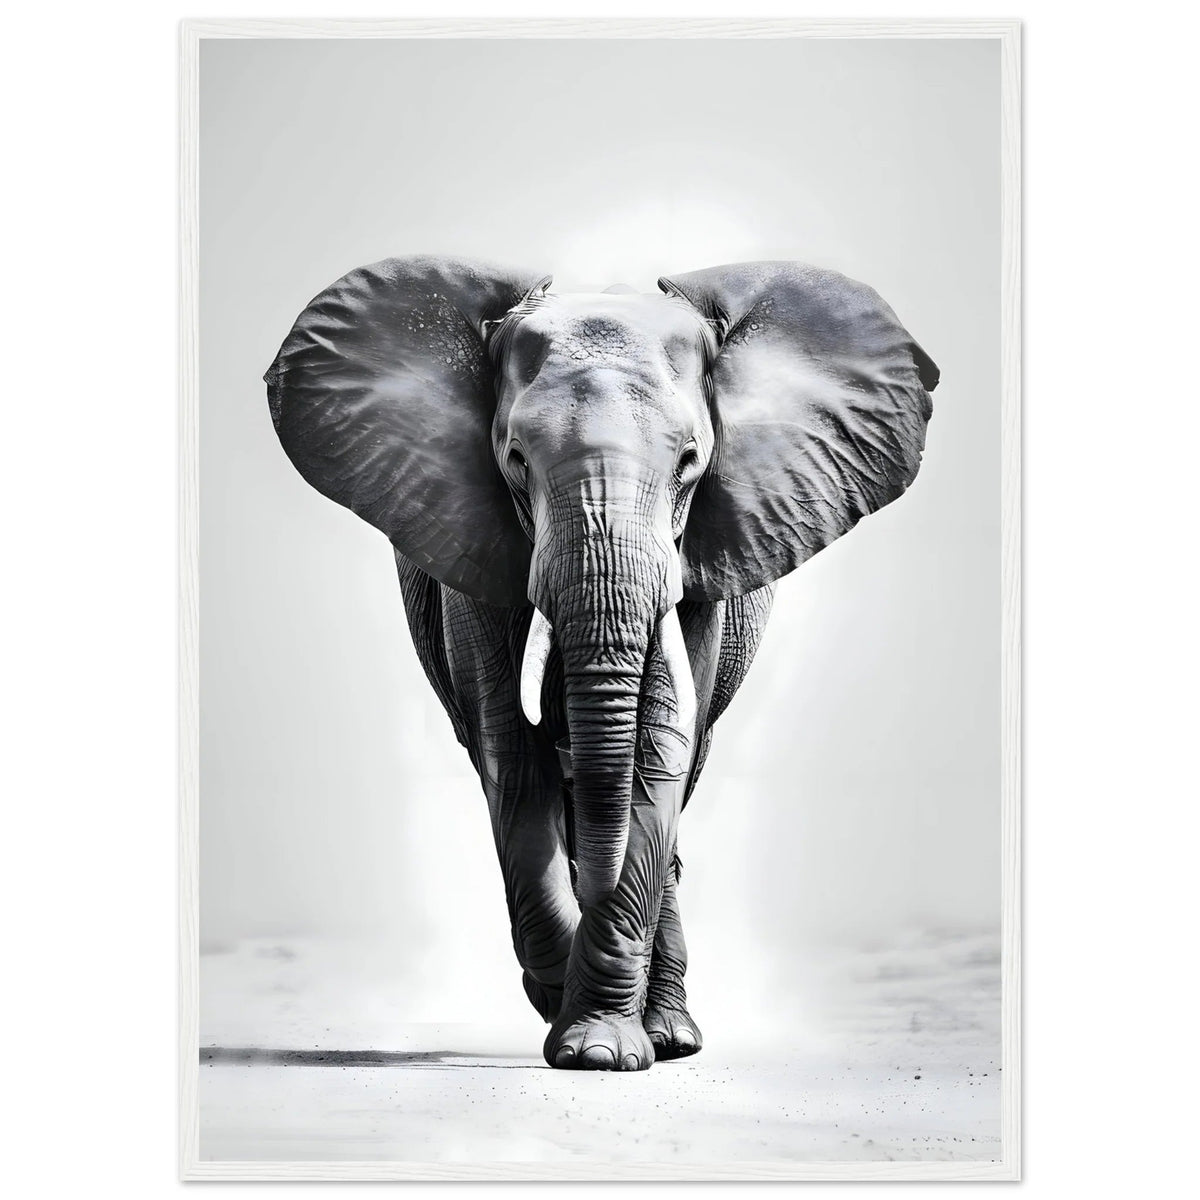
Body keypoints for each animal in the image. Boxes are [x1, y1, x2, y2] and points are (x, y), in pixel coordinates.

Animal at [265, 255, 939, 1072]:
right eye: (516, 460)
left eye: (690, 462)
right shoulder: (472, 545)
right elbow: (512, 752)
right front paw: (570, 1017)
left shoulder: (702, 556)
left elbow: (659, 752)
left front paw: (600, 1048)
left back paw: (670, 1034)